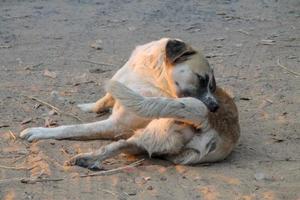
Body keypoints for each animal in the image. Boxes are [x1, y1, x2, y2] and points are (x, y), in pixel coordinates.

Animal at [19, 37, 240, 169]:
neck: (152, 75)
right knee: (129, 146)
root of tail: (214, 125)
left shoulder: (114, 125)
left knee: (119, 144)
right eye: (203, 80)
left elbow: (73, 128)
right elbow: (105, 98)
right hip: (157, 140)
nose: (215, 107)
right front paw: (89, 106)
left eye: (211, 86)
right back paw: (87, 159)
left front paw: (40, 131)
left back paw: (86, 158)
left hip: (154, 129)